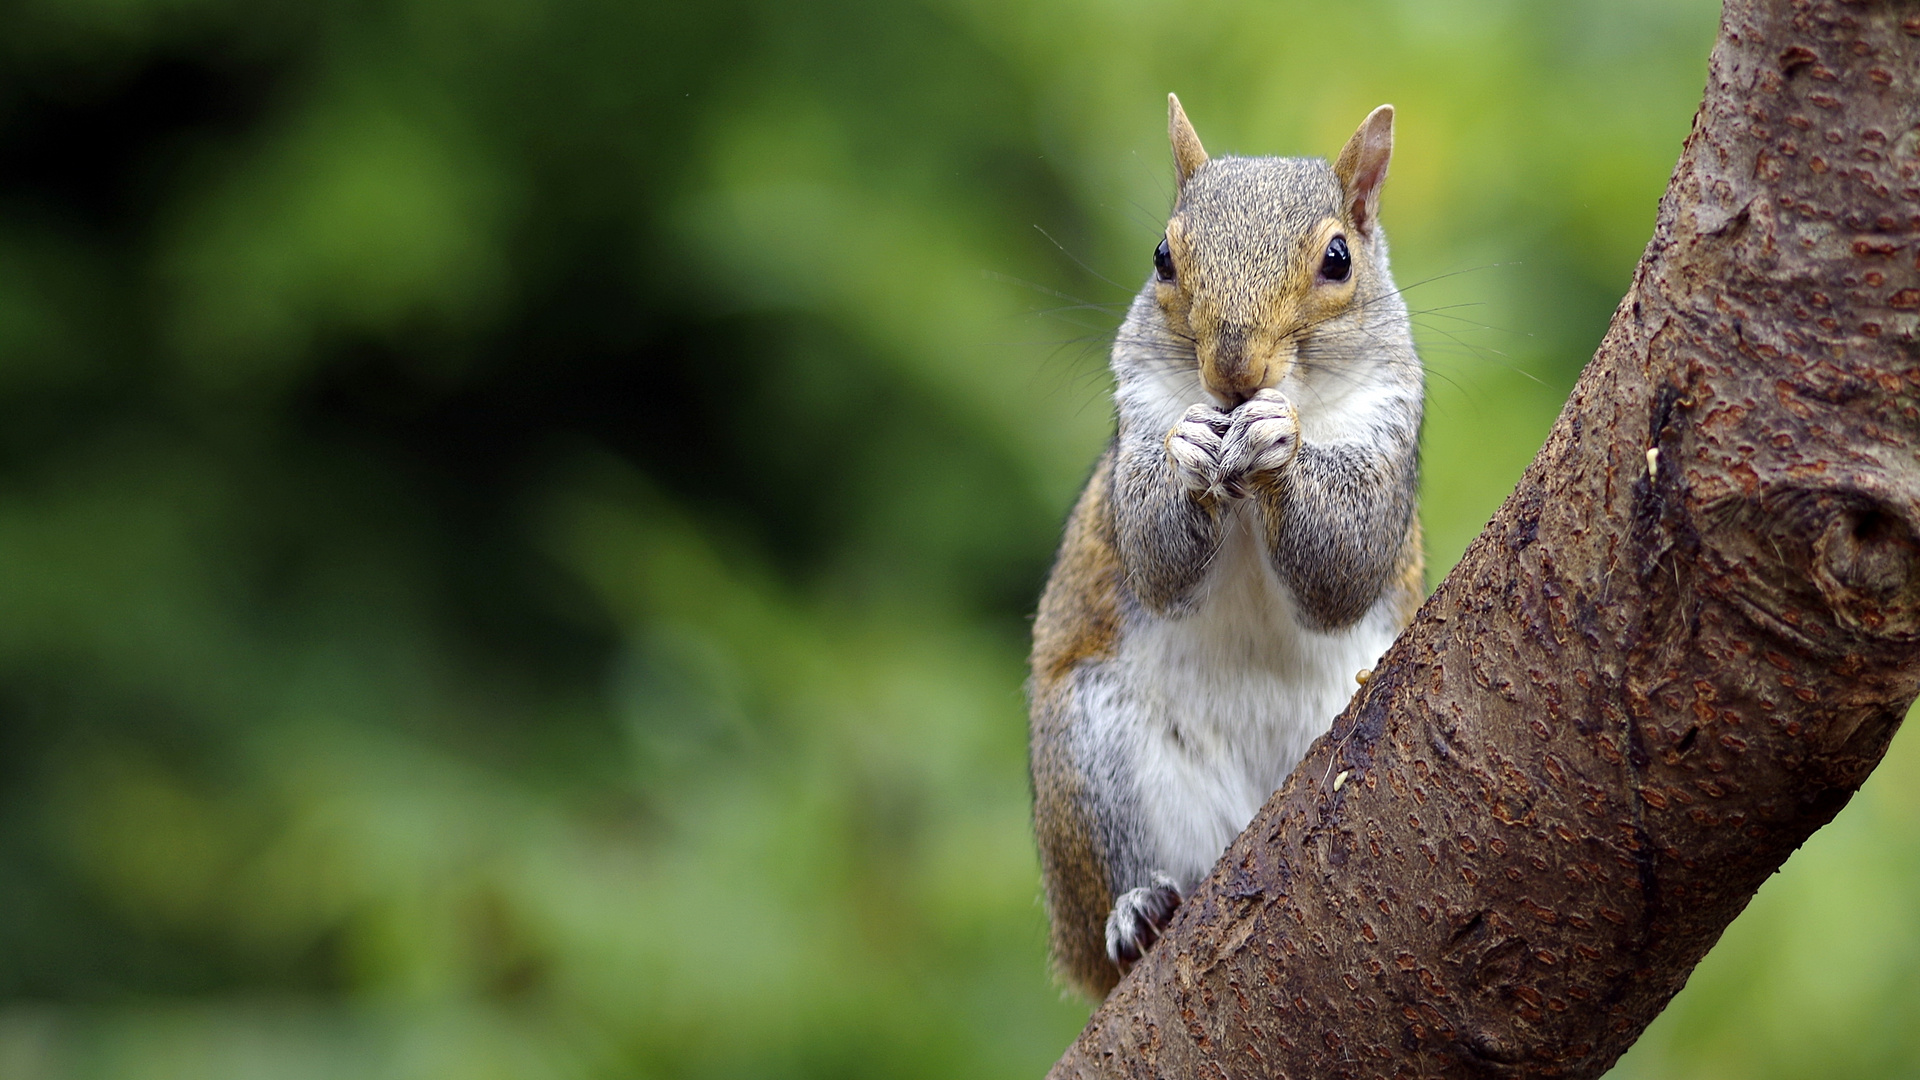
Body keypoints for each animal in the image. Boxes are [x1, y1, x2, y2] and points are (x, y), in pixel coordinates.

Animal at [1021, 96, 1428, 999]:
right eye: (1163, 256)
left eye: (1339, 259)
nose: (1235, 374)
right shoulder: (1138, 415)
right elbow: (1153, 552)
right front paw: (1190, 454)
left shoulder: (1389, 436)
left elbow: (1343, 564)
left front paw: (1279, 440)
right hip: (1093, 760)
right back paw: (1135, 910)